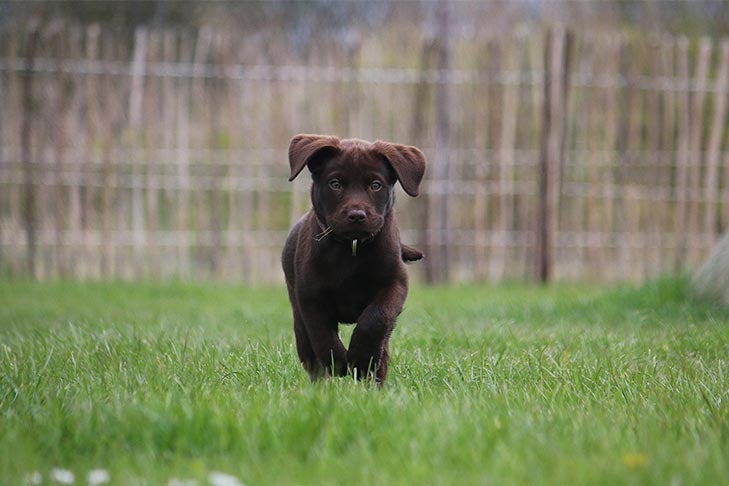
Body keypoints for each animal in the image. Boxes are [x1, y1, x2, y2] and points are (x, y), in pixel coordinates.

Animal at [280, 134, 426, 384]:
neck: (352, 248)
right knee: (309, 352)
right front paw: (339, 362)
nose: (357, 215)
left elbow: (375, 320)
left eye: (376, 185)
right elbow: (322, 335)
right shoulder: (310, 296)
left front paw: (360, 359)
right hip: (297, 312)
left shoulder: (394, 284)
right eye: (335, 184)